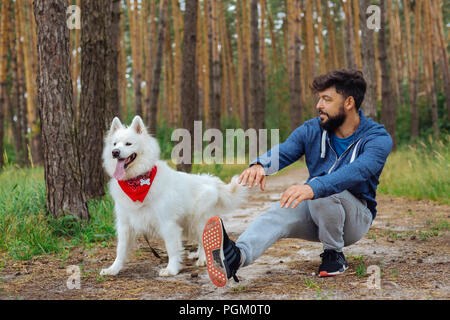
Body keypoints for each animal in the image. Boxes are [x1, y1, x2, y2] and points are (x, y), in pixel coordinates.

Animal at [100, 116, 248, 276]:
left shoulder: (167, 223)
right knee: (200, 242)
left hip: (198, 222)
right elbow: (120, 250)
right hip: (189, 224)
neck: (136, 181)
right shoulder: (125, 225)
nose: (115, 152)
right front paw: (113, 269)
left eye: (128, 143)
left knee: (204, 241)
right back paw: (199, 257)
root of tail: (210, 180)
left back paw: (203, 260)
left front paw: (171, 269)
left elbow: (171, 248)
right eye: (115, 144)